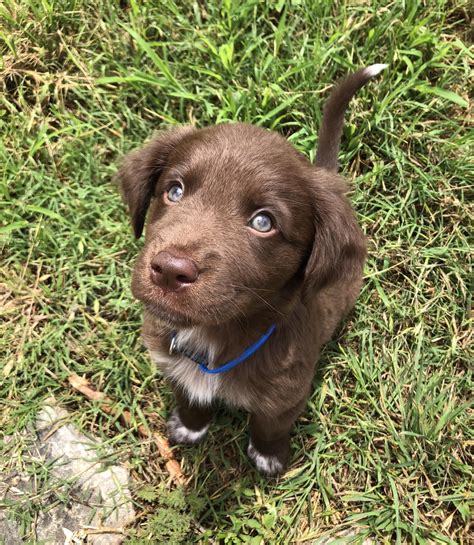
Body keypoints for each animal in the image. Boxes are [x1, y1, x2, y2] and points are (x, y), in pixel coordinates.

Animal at [117, 65, 386, 476]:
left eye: (263, 222)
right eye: (174, 191)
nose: (169, 271)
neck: (214, 338)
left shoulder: (287, 392)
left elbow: (269, 424)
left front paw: (268, 456)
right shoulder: (171, 362)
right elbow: (189, 396)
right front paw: (190, 426)